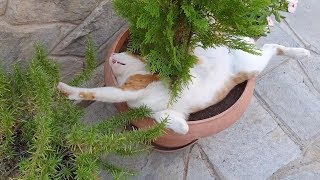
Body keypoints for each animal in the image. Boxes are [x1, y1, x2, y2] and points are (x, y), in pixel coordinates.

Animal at [57, 40, 310, 134]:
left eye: (128, 52)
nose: (112, 56)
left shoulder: (129, 89)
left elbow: (98, 93)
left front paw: (67, 90)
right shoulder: (172, 113)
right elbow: (180, 127)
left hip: (253, 62)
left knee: (272, 45)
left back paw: (301, 52)